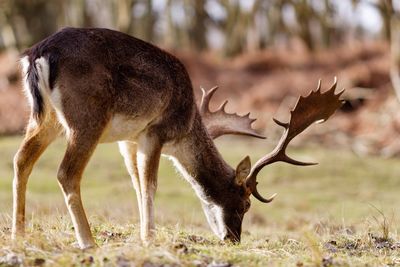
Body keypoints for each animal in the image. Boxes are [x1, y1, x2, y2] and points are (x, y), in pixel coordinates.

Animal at [12, 27, 344, 249]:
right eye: (245, 204)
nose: (233, 239)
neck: (185, 127)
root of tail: (38, 54)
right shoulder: (156, 131)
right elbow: (150, 185)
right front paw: (150, 238)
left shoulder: (128, 139)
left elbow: (136, 184)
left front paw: (143, 234)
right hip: (87, 118)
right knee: (66, 172)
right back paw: (88, 241)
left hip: (45, 118)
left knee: (20, 159)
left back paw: (19, 234)